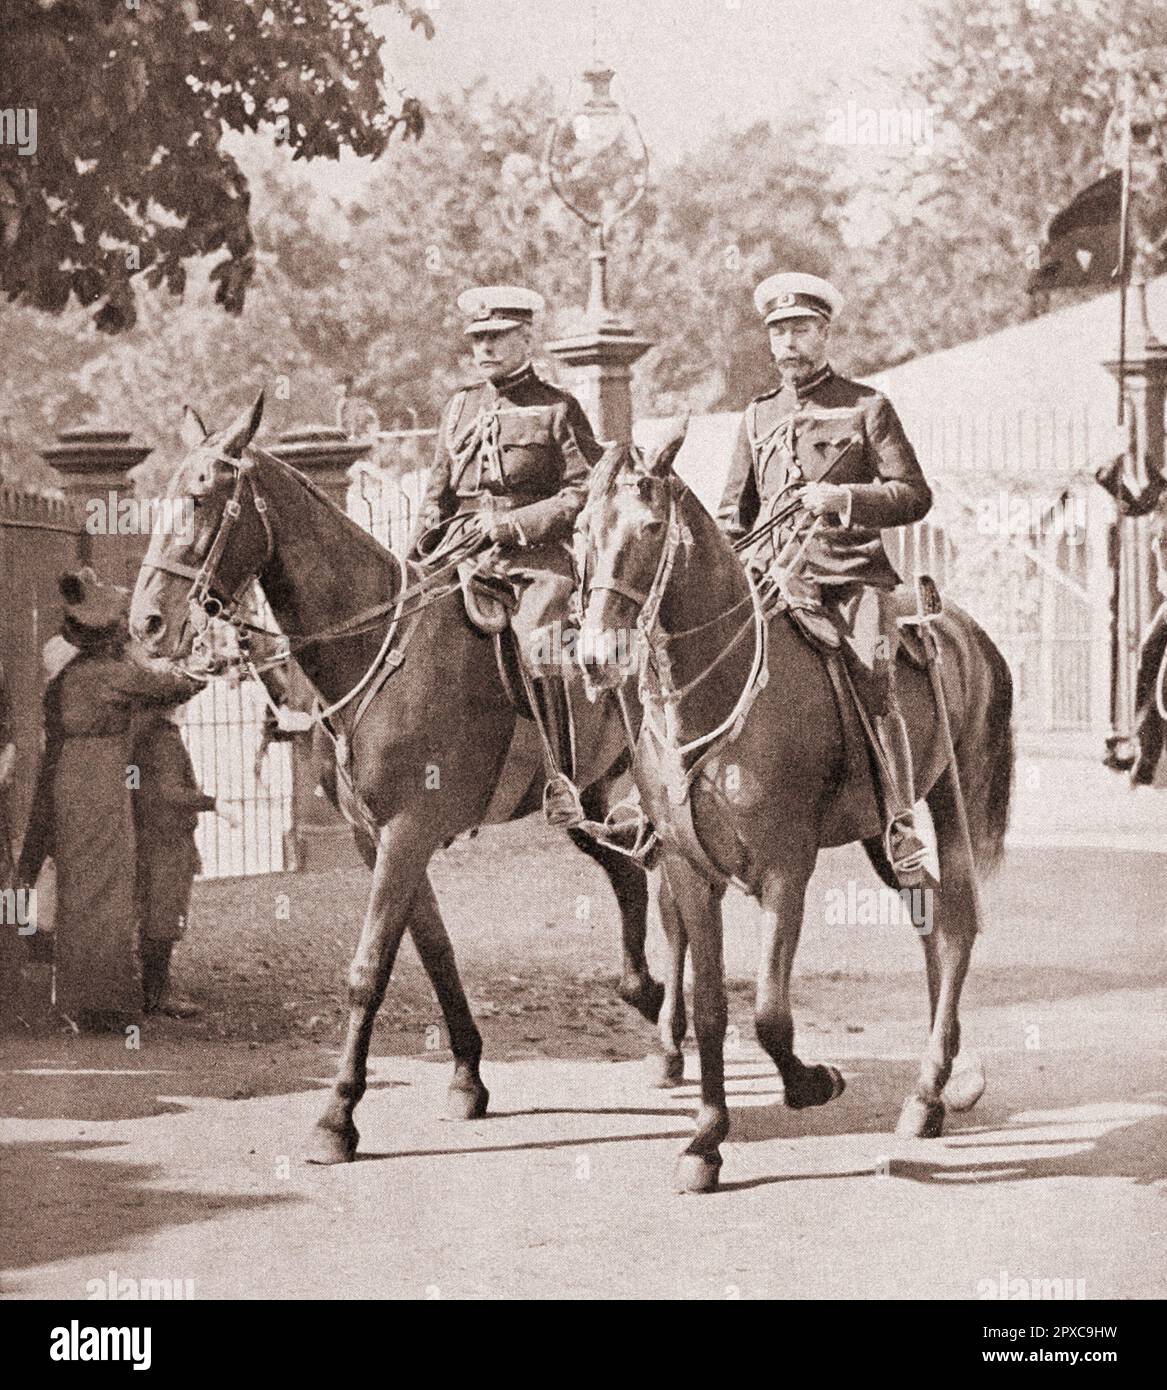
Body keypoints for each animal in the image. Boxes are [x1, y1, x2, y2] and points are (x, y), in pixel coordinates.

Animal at [128, 400, 666, 1162]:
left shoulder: (406, 834)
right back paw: (652, 1008)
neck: (378, 651)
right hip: (591, 799)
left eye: (203, 496)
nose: (146, 621)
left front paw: (336, 1116)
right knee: (629, 877)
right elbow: (435, 953)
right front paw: (467, 1076)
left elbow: (368, 970)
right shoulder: (378, 836)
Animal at [575, 425, 1011, 1195]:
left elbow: (770, 1013)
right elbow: (713, 1008)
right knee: (930, 917)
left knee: (957, 923)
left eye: (650, 528)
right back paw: (938, 1090)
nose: (597, 657)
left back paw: (929, 1087)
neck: (717, 692)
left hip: (947, 794)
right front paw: (705, 1140)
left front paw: (812, 1082)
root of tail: (964, 627)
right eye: (577, 531)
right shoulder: (689, 870)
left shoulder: (786, 870)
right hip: (880, 829)